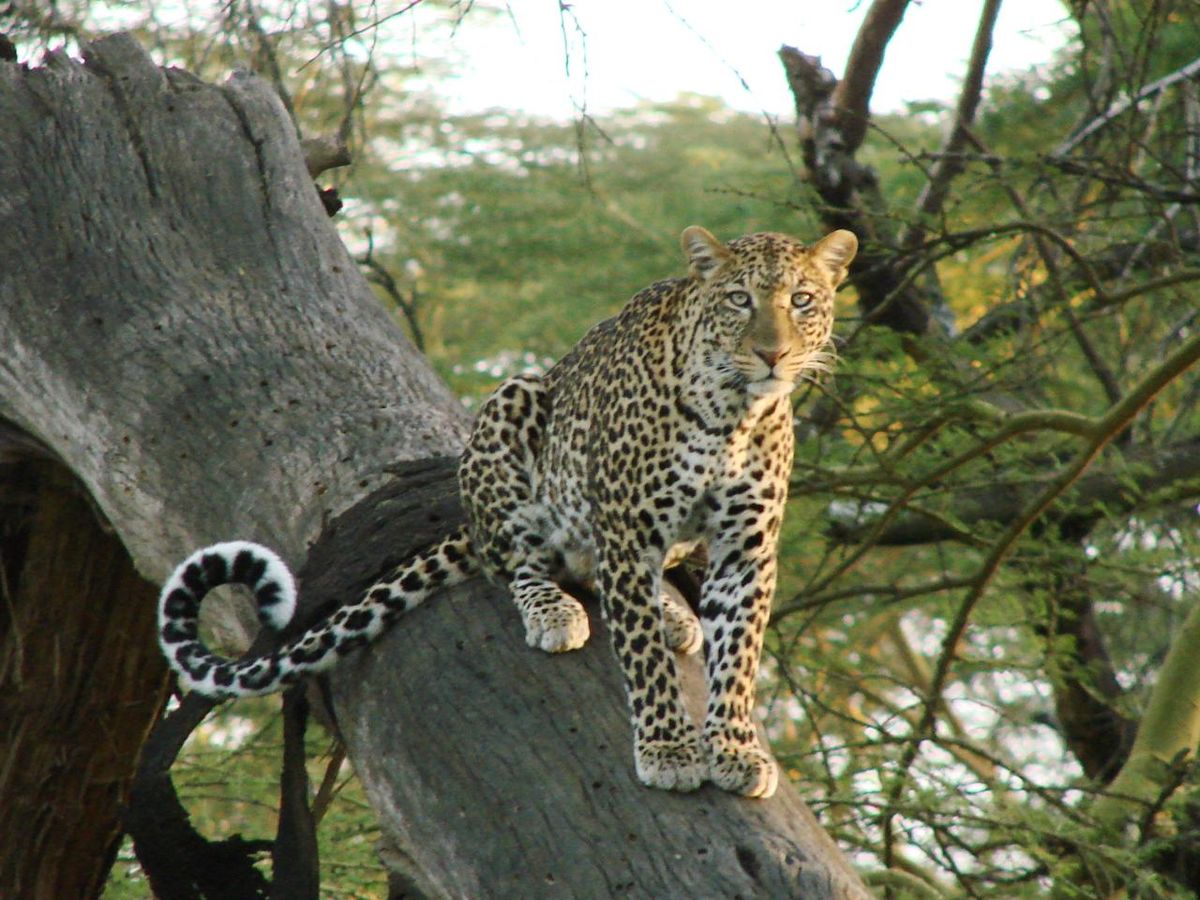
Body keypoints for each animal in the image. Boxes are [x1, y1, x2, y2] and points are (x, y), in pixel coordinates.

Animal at [158, 224, 857, 798]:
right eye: (739, 300)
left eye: (802, 301)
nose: (773, 354)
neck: (735, 413)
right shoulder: (626, 528)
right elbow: (642, 657)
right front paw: (669, 748)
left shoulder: (746, 549)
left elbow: (738, 655)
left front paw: (735, 749)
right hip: (515, 407)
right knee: (522, 564)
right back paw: (556, 610)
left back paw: (669, 611)